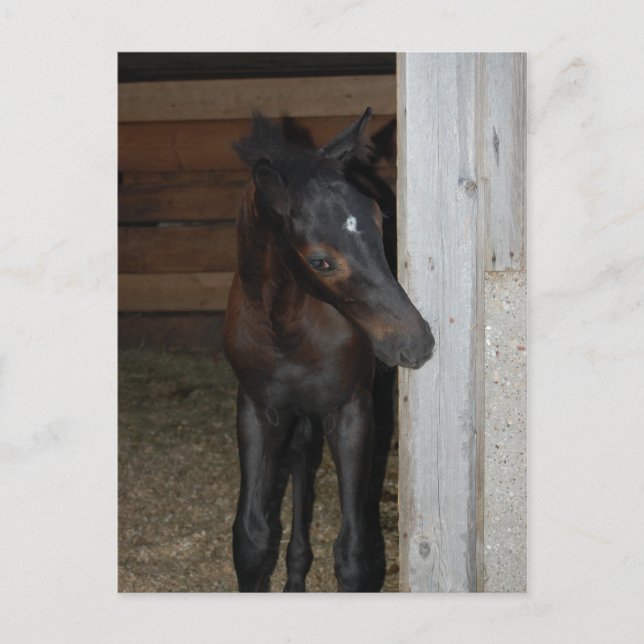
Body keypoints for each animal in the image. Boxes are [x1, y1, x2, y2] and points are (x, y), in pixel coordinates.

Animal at [223, 108, 435, 592]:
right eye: (320, 261)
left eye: (381, 222)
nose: (415, 342)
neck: (285, 328)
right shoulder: (257, 409)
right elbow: (251, 538)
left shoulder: (350, 409)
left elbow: (355, 552)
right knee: (302, 457)